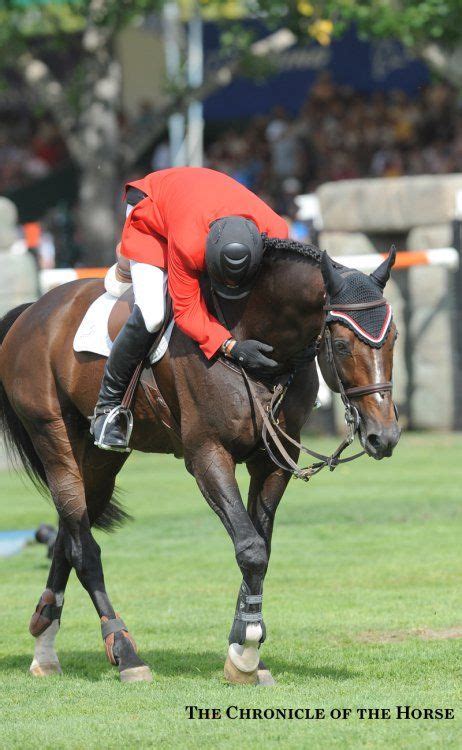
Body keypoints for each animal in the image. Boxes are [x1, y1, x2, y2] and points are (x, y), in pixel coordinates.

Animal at [0, 239, 400, 685]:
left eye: (394, 338)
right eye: (344, 345)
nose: (384, 436)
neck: (256, 341)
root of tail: (35, 309)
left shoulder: (274, 462)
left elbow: (260, 544)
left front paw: (244, 647)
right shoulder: (208, 455)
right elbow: (250, 549)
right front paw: (245, 652)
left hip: (101, 461)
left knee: (69, 535)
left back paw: (45, 646)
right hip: (54, 438)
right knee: (84, 548)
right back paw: (124, 651)